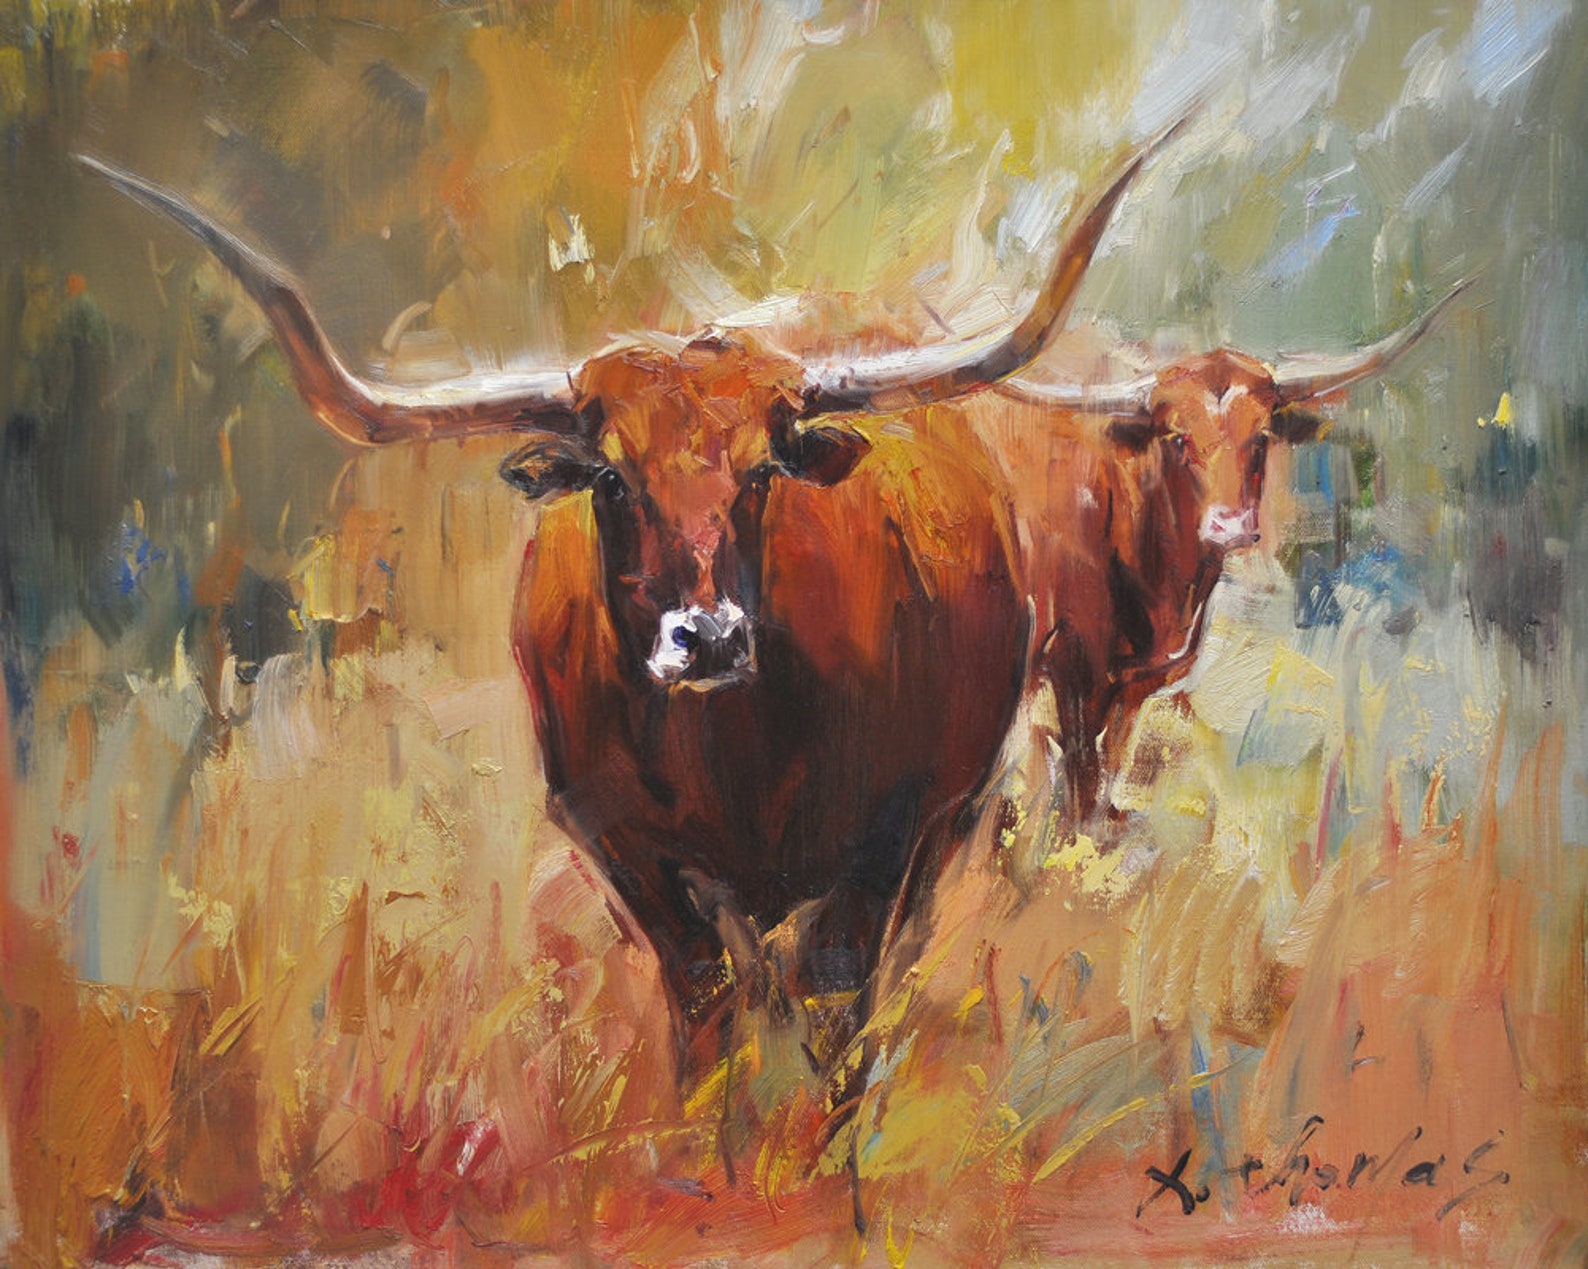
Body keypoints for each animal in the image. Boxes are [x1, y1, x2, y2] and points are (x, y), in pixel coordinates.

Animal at [75, 131, 1172, 1055]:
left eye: (764, 471)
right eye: (609, 478)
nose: (708, 639)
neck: (735, 756)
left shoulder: (883, 843)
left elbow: (834, 1013)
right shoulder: (628, 854)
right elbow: (709, 1016)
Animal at [982, 289, 1467, 826]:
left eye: (1262, 436)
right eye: (1178, 437)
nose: (1230, 526)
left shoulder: (1137, 683)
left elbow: (1110, 765)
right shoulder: (1072, 664)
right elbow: (1082, 776)